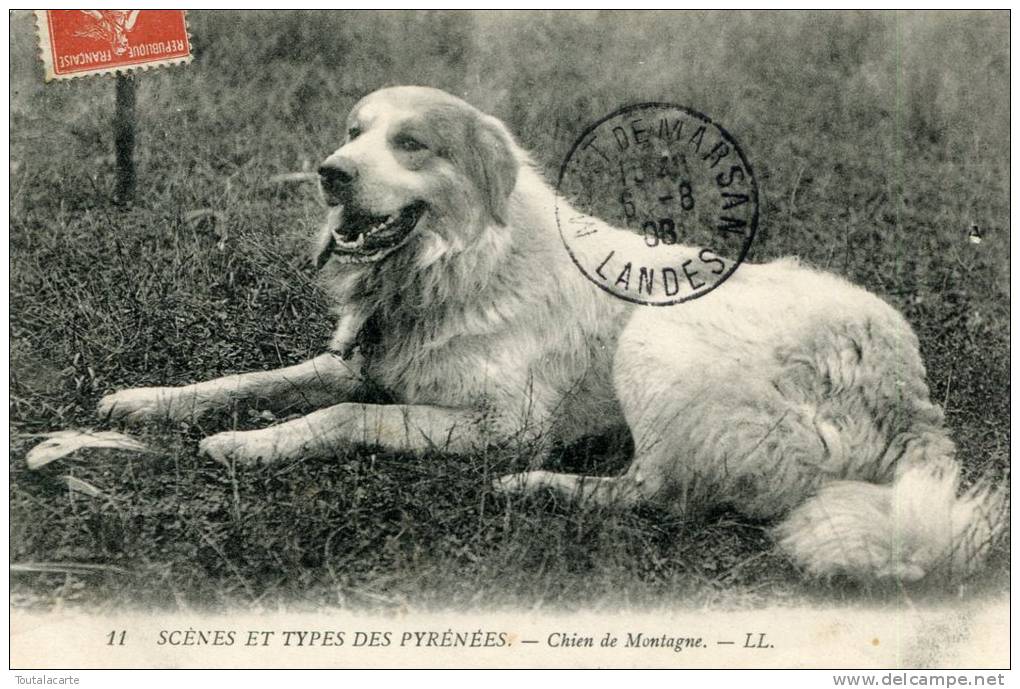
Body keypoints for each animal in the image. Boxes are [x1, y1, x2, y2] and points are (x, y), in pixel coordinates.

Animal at [99, 84, 1007, 583]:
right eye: (355, 132)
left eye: (411, 143)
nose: (330, 172)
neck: (457, 262)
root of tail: (911, 396)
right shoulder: (354, 362)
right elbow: (250, 381)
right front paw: (147, 401)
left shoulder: (499, 425)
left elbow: (340, 416)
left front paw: (247, 445)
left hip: (657, 341)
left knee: (659, 493)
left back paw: (540, 489)